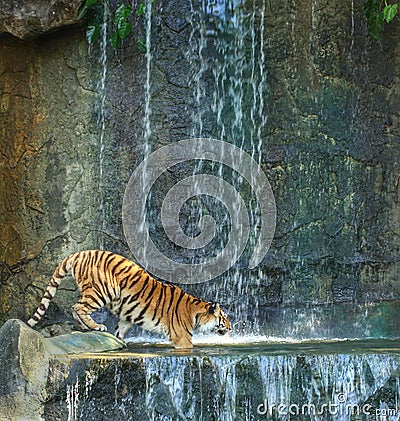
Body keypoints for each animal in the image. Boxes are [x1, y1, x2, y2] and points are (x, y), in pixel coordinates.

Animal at [27, 249, 231, 348]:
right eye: (224, 318)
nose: (231, 328)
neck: (195, 311)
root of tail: (79, 253)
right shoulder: (182, 337)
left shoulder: (128, 317)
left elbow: (120, 329)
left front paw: (122, 342)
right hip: (102, 291)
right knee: (78, 307)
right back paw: (96, 326)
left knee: (76, 307)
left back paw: (85, 327)